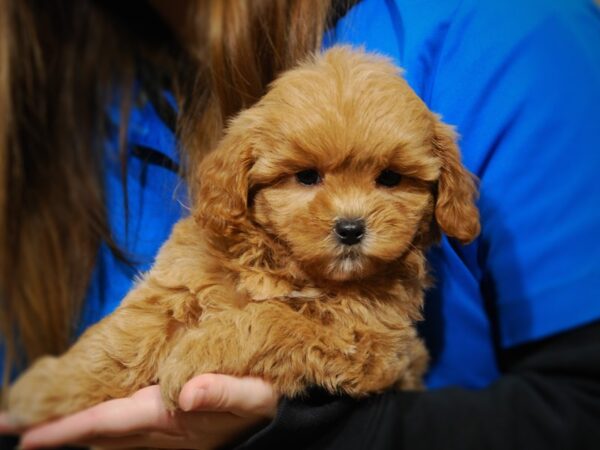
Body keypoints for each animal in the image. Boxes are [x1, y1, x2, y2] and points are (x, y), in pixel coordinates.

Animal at [7, 45, 480, 426]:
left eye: (390, 178)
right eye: (307, 177)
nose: (351, 228)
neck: (285, 261)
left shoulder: (367, 343)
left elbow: (273, 320)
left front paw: (195, 352)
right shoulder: (181, 282)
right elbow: (119, 342)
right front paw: (45, 388)